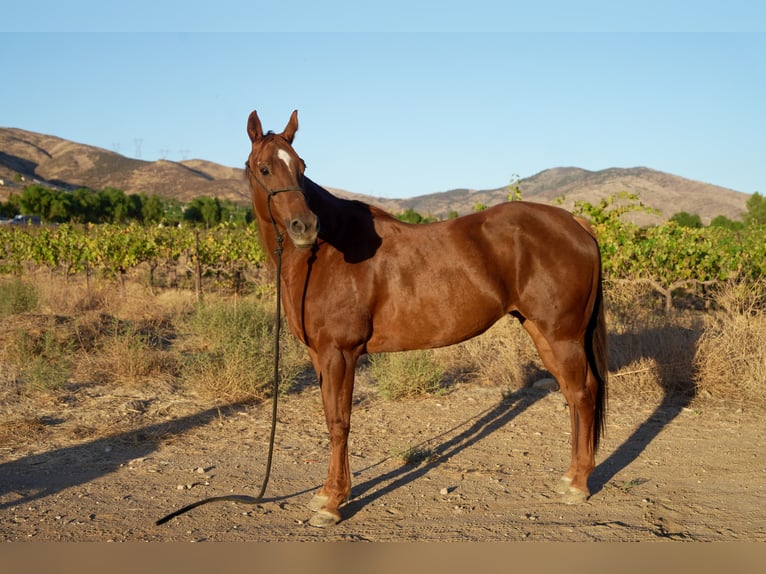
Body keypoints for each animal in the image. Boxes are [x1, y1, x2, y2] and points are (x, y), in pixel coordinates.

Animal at [245, 110, 608, 528]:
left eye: (301, 167)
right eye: (265, 168)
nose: (305, 227)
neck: (326, 255)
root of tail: (575, 223)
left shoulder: (341, 353)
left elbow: (339, 423)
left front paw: (332, 502)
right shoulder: (320, 355)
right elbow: (331, 418)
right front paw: (328, 494)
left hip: (563, 336)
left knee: (583, 395)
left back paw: (578, 485)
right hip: (543, 334)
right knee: (573, 394)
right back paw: (571, 475)